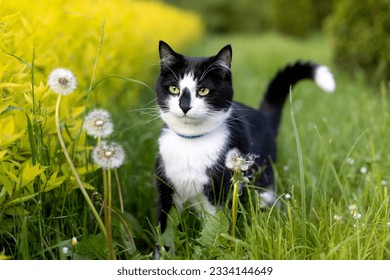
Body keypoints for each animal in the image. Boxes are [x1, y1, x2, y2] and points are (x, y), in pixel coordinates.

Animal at [154, 39, 334, 256]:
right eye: (174, 89)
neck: (191, 143)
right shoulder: (166, 189)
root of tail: (263, 116)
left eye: (203, 90)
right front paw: (161, 255)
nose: (184, 106)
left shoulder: (219, 192)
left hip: (263, 177)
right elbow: (165, 231)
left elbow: (215, 227)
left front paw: (215, 253)